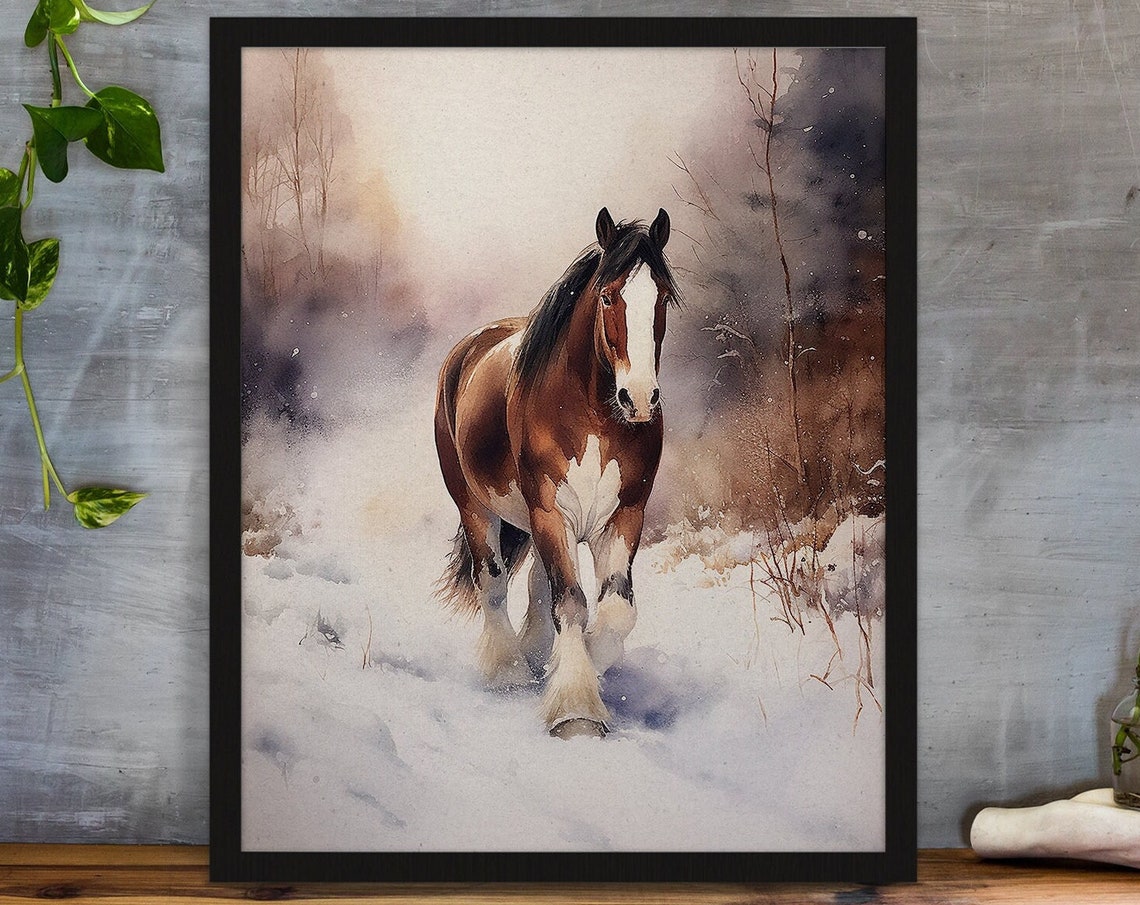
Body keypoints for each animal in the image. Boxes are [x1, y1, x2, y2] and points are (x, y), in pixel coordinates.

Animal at [433, 207, 678, 739]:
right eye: (608, 295)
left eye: (663, 297)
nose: (639, 398)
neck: (593, 419)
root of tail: (468, 349)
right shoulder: (550, 511)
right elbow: (571, 602)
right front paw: (576, 710)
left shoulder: (625, 516)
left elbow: (615, 611)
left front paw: (581, 669)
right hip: (475, 505)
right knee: (493, 583)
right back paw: (507, 671)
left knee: (535, 586)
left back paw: (533, 656)